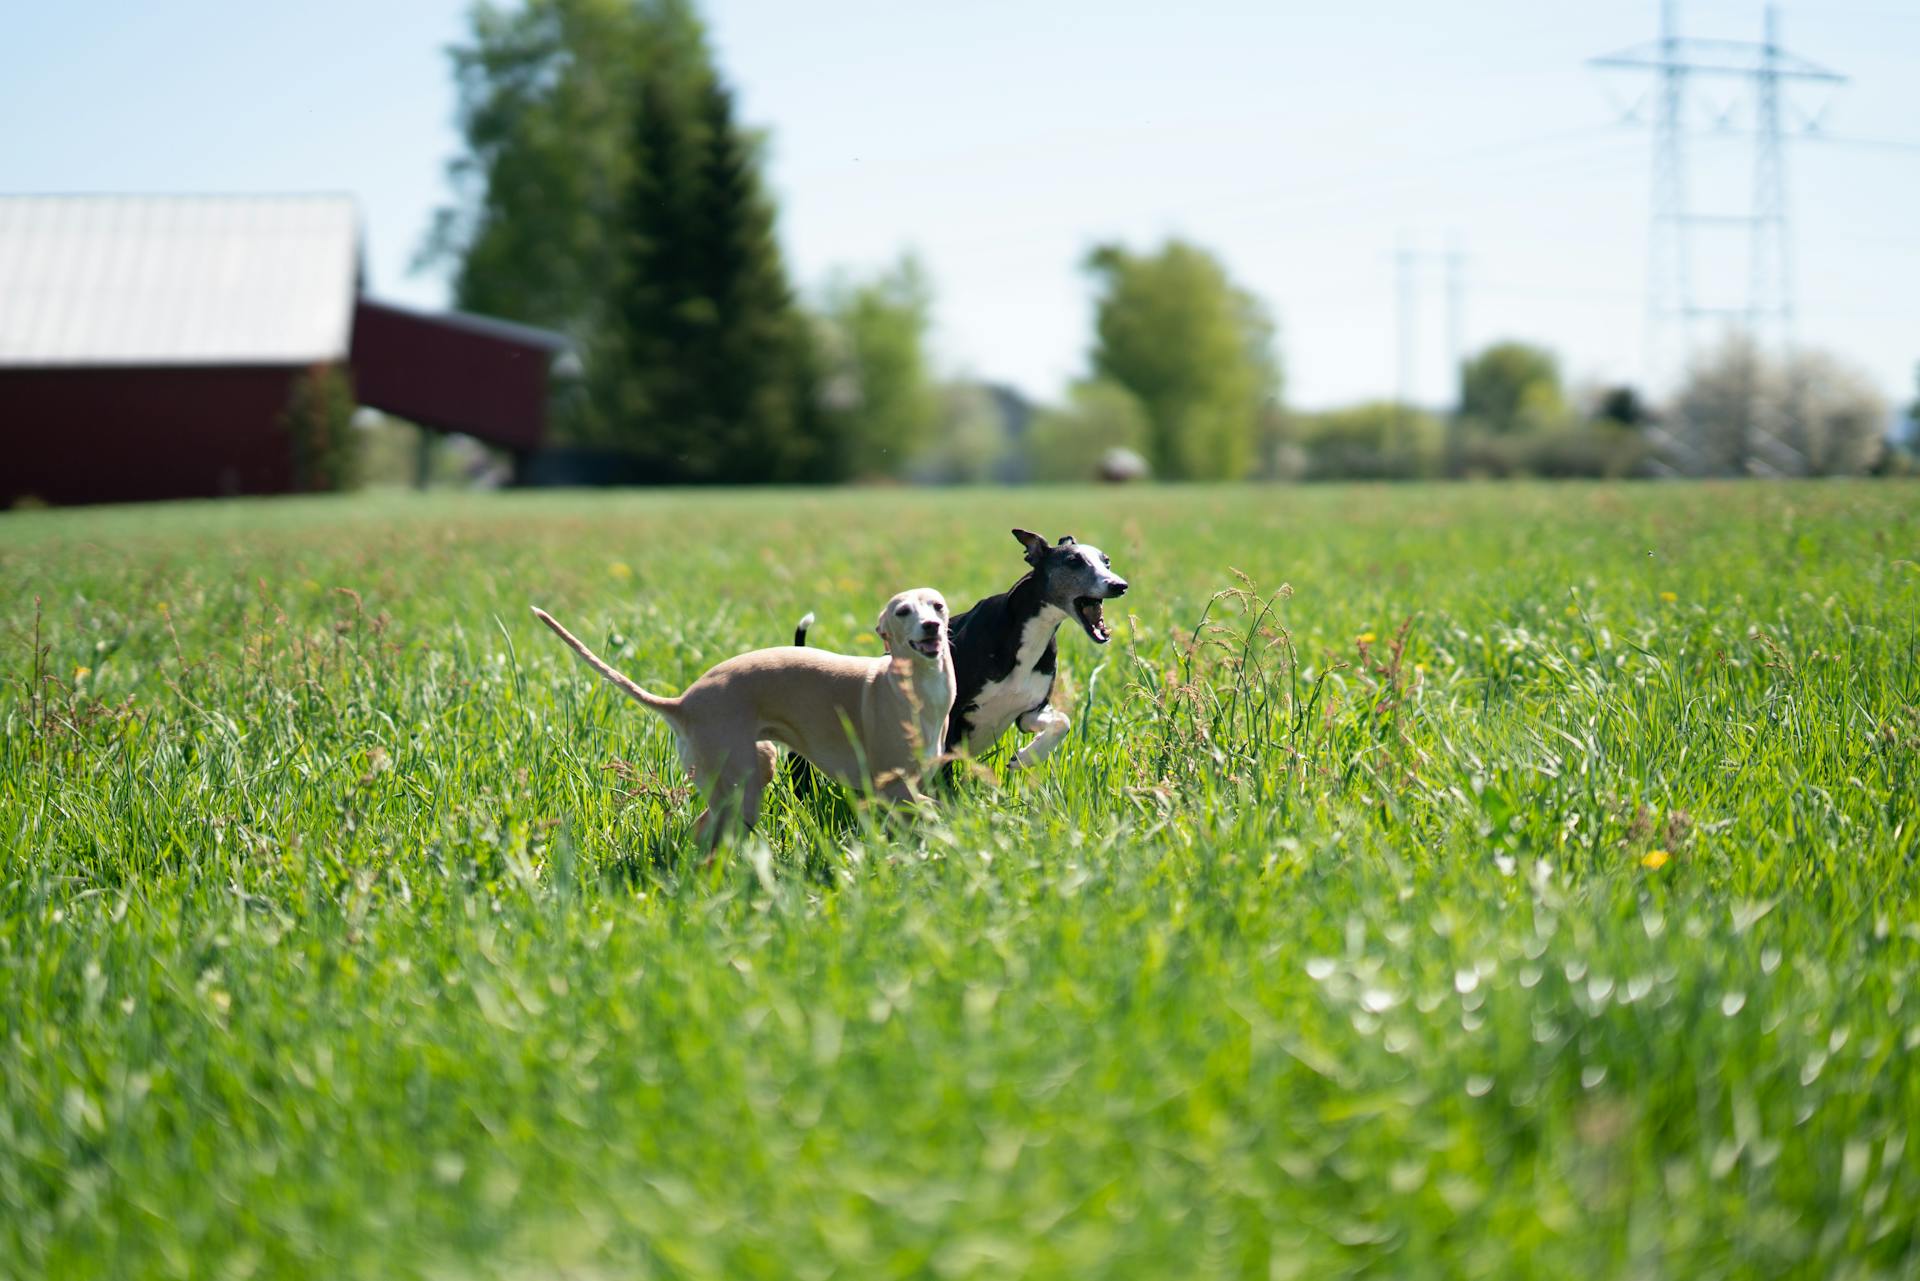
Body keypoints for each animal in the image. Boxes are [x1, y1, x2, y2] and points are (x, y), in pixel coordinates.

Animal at [529, 587, 956, 852]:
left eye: (937, 605)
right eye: (902, 611)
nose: (932, 627)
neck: (913, 689)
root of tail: (682, 703)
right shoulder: (889, 787)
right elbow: (927, 811)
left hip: (754, 766)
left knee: (701, 829)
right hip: (739, 788)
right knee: (713, 843)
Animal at [791, 530, 1121, 775]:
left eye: (1106, 561)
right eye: (1074, 560)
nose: (1119, 585)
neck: (1025, 637)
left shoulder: (1029, 712)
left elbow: (1061, 722)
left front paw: (1027, 756)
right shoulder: (950, 720)